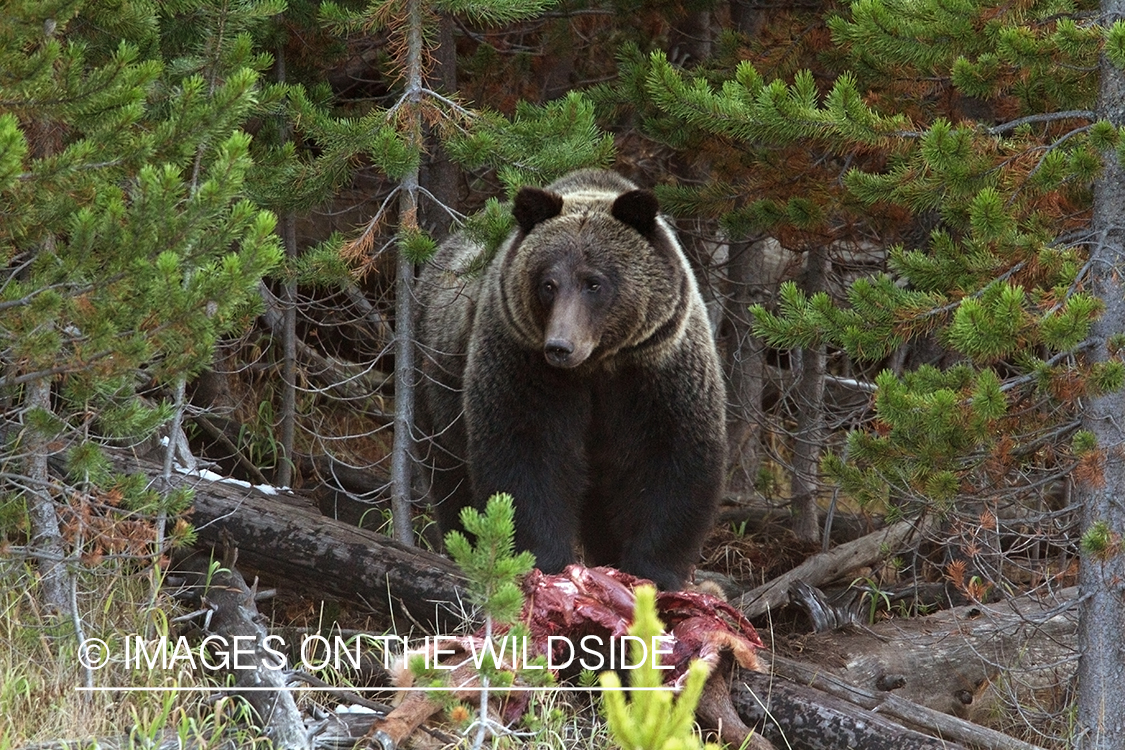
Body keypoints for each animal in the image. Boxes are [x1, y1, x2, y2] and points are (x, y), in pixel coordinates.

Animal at [418, 172, 724, 593]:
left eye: (593, 282)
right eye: (548, 283)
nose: (560, 346)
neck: (596, 365)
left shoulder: (658, 371)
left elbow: (671, 460)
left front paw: (653, 572)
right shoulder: (524, 366)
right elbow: (526, 455)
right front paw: (544, 560)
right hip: (435, 387)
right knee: (450, 480)